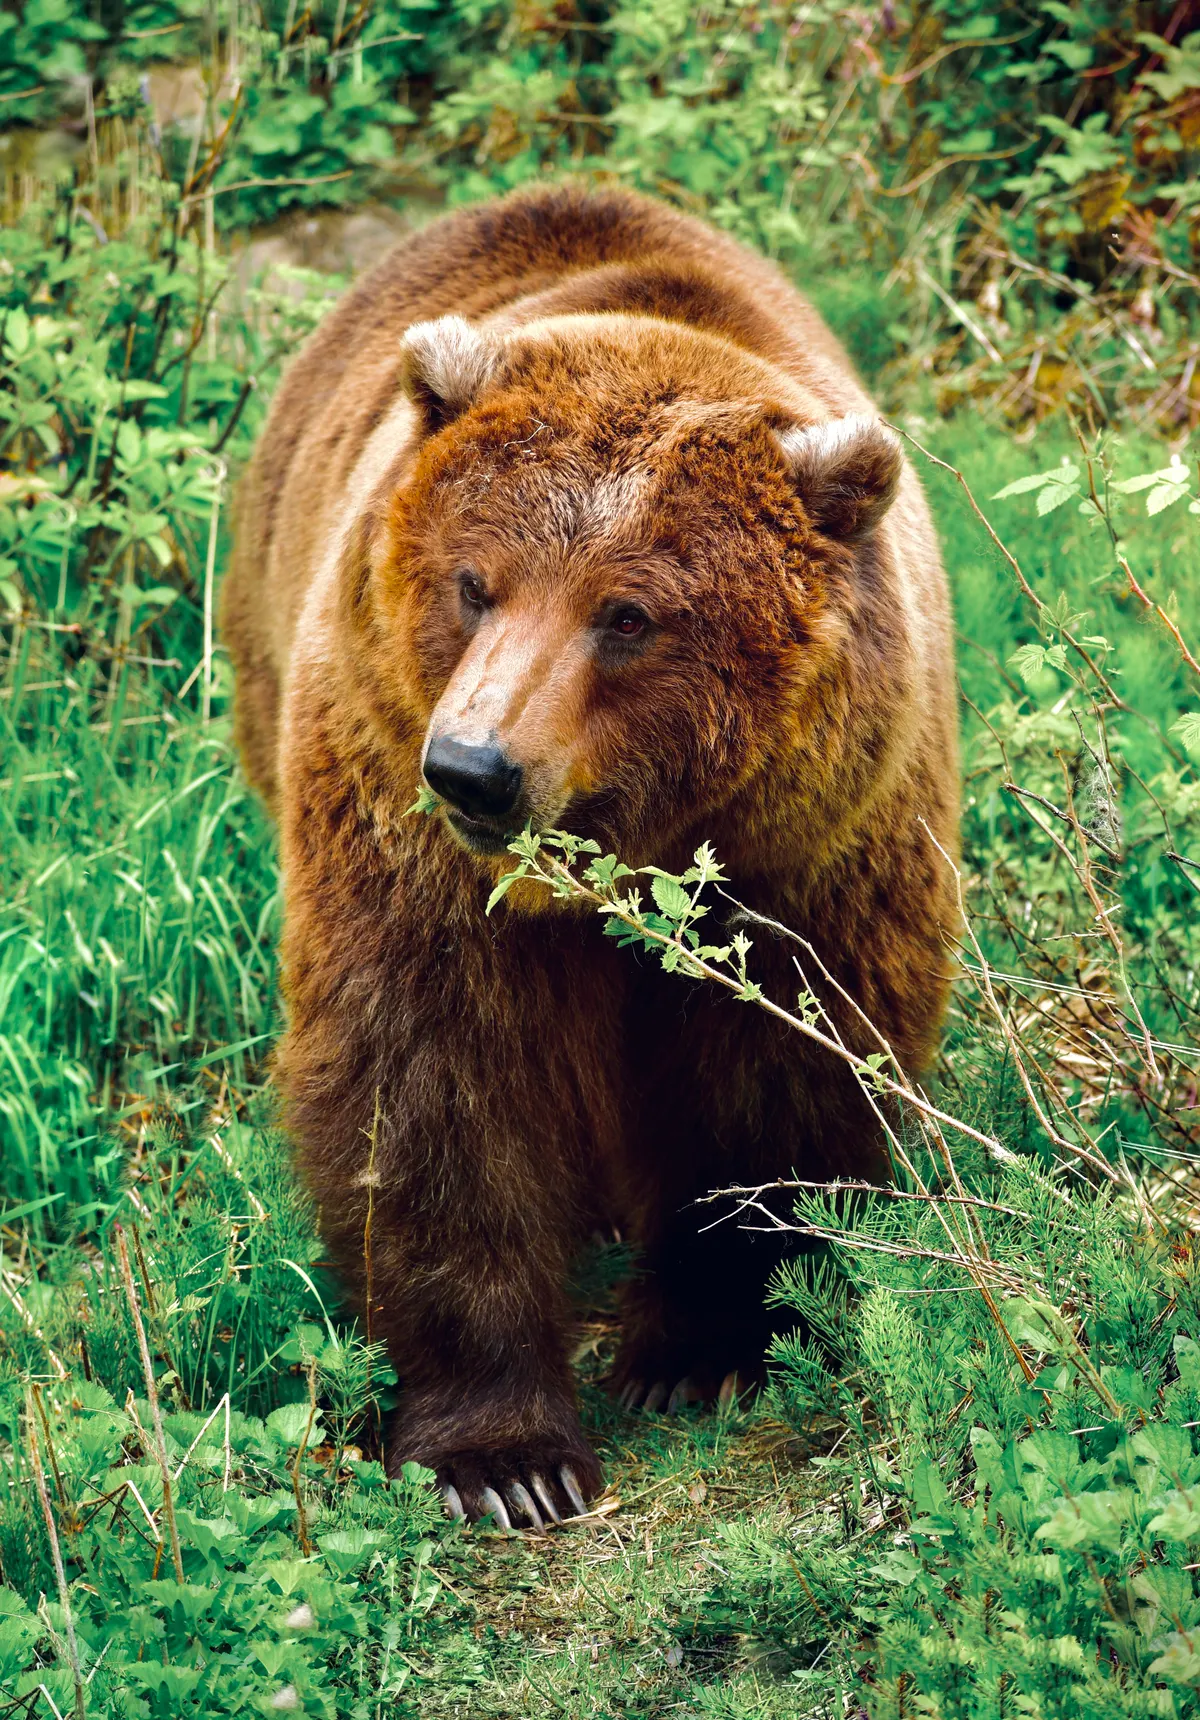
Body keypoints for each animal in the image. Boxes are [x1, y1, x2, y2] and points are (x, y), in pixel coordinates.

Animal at [222, 182, 959, 1529]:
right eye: (474, 581)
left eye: (629, 615)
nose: (473, 767)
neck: (616, 856)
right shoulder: (405, 834)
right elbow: (432, 1083)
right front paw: (505, 1457)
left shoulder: (805, 849)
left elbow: (773, 1071)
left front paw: (702, 1349)